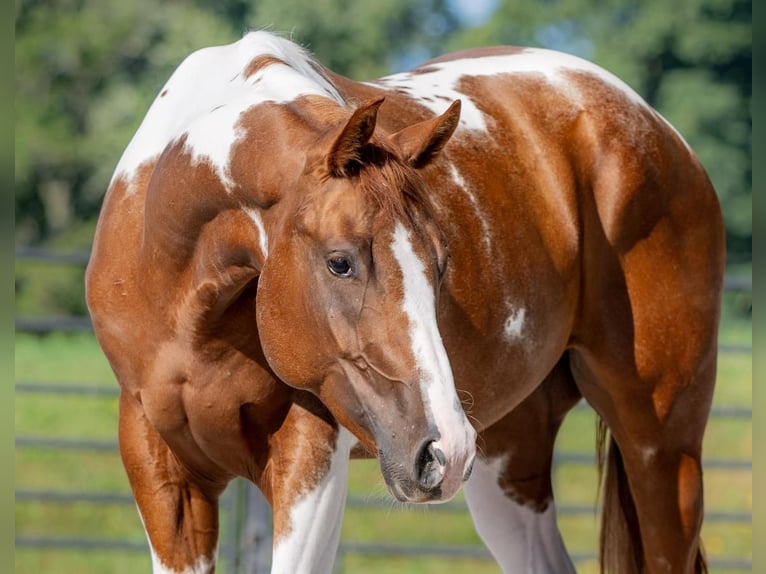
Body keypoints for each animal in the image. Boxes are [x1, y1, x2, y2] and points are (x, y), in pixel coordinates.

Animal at [87, 32, 728, 574]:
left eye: (441, 264)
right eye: (340, 262)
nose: (445, 448)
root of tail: (651, 125)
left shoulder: (309, 455)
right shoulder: (159, 464)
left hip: (661, 449)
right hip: (508, 457)